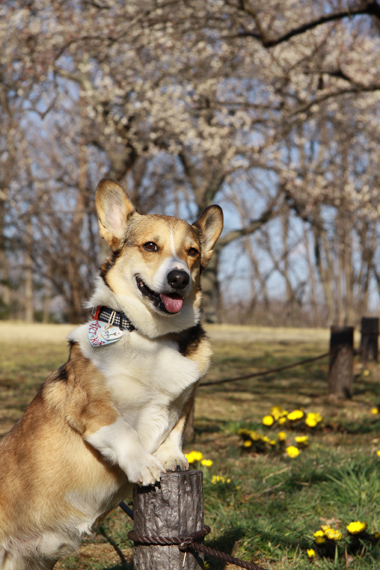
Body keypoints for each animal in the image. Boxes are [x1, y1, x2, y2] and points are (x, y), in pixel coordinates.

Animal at [0, 179, 223, 568]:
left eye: (192, 252)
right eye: (151, 246)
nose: (179, 278)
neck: (150, 336)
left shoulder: (183, 399)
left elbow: (175, 428)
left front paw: (172, 458)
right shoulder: (92, 408)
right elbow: (124, 431)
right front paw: (144, 464)